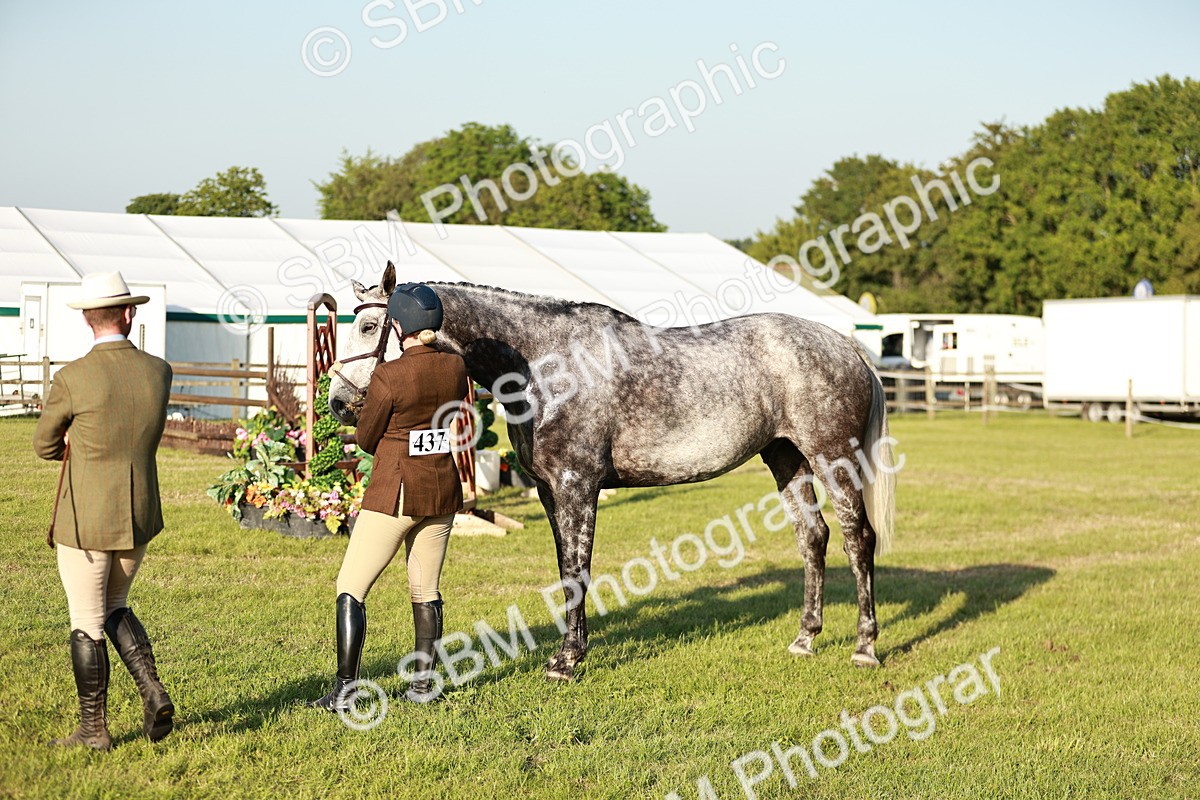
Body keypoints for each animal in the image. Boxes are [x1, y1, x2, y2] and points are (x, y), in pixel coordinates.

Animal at [328, 262, 896, 681]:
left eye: (370, 326)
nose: (337, 403)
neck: (544, 363)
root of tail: (846, 345)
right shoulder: (550, 492)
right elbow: (565, 570)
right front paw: (569, 651)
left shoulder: (578, 487)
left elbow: (579, 571)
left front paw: (567, 661)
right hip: (786, 457)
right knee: (813, 537)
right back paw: (805, 639)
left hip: (832, 457)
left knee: (857, 539)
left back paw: (865, 647)